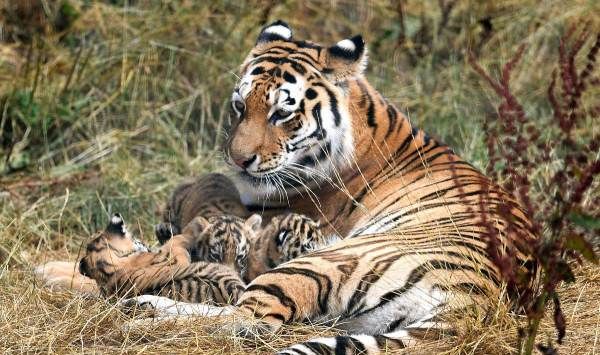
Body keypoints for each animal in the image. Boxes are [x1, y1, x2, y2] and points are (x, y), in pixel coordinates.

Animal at [124, 20, 536, 354]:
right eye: (240, 106)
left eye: (281, 114)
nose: (239, 160)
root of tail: (476, 300)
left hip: (320, 261)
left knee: (248, 319)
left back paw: (147, 314)